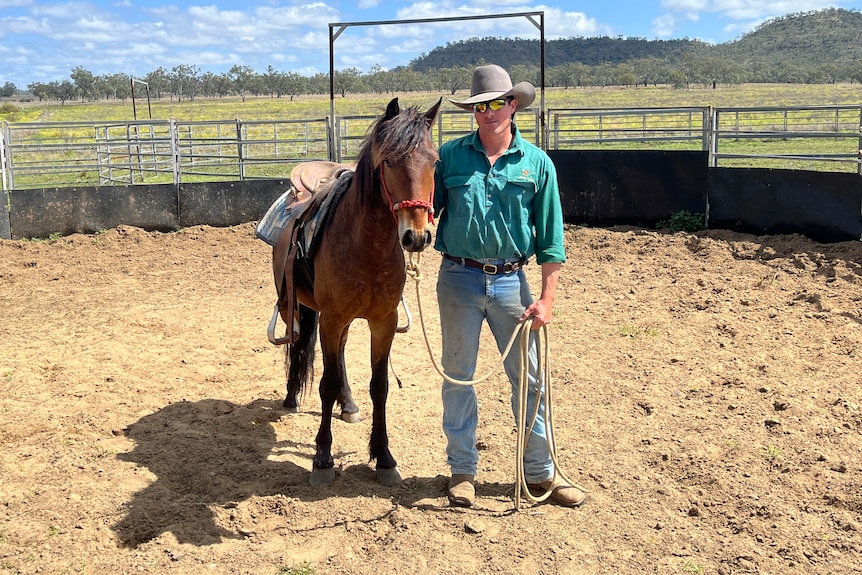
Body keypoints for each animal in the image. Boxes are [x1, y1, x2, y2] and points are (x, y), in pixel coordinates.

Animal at [276, 98, 438, 486]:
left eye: (435, 161)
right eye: (389, 161)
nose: (417, 236)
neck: (368, 247)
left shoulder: (382, 321)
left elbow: (379, 385)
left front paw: (384, 457)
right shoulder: (332, 318)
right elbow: (327, 383)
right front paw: (322, 458)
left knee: (341, 357)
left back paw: (348, 405)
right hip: (301, 307)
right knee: (298, 345)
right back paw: (291, 397)